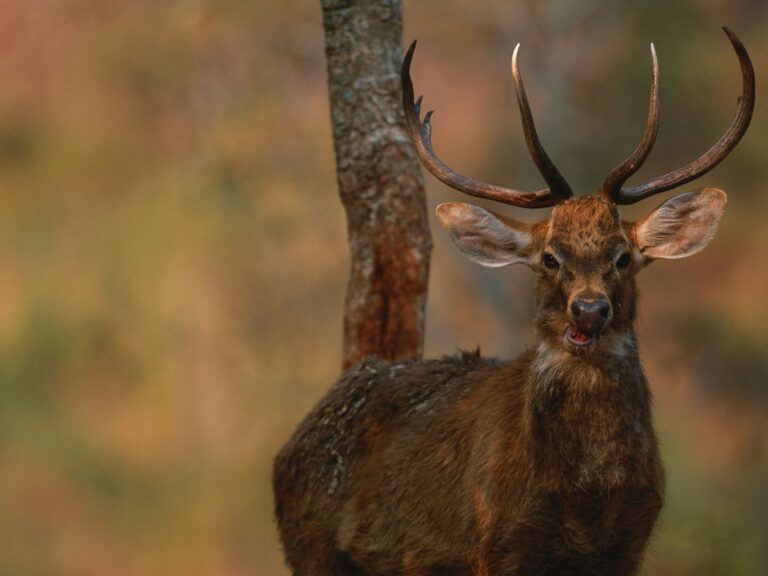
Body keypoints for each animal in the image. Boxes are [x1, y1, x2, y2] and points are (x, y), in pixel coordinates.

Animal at [273, 27, 754, 575]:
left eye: (623, 257)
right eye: (549, 257)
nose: (589, 310)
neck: (586, 496)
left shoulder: (630, 540)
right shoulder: (496, 542)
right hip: (311, 545)